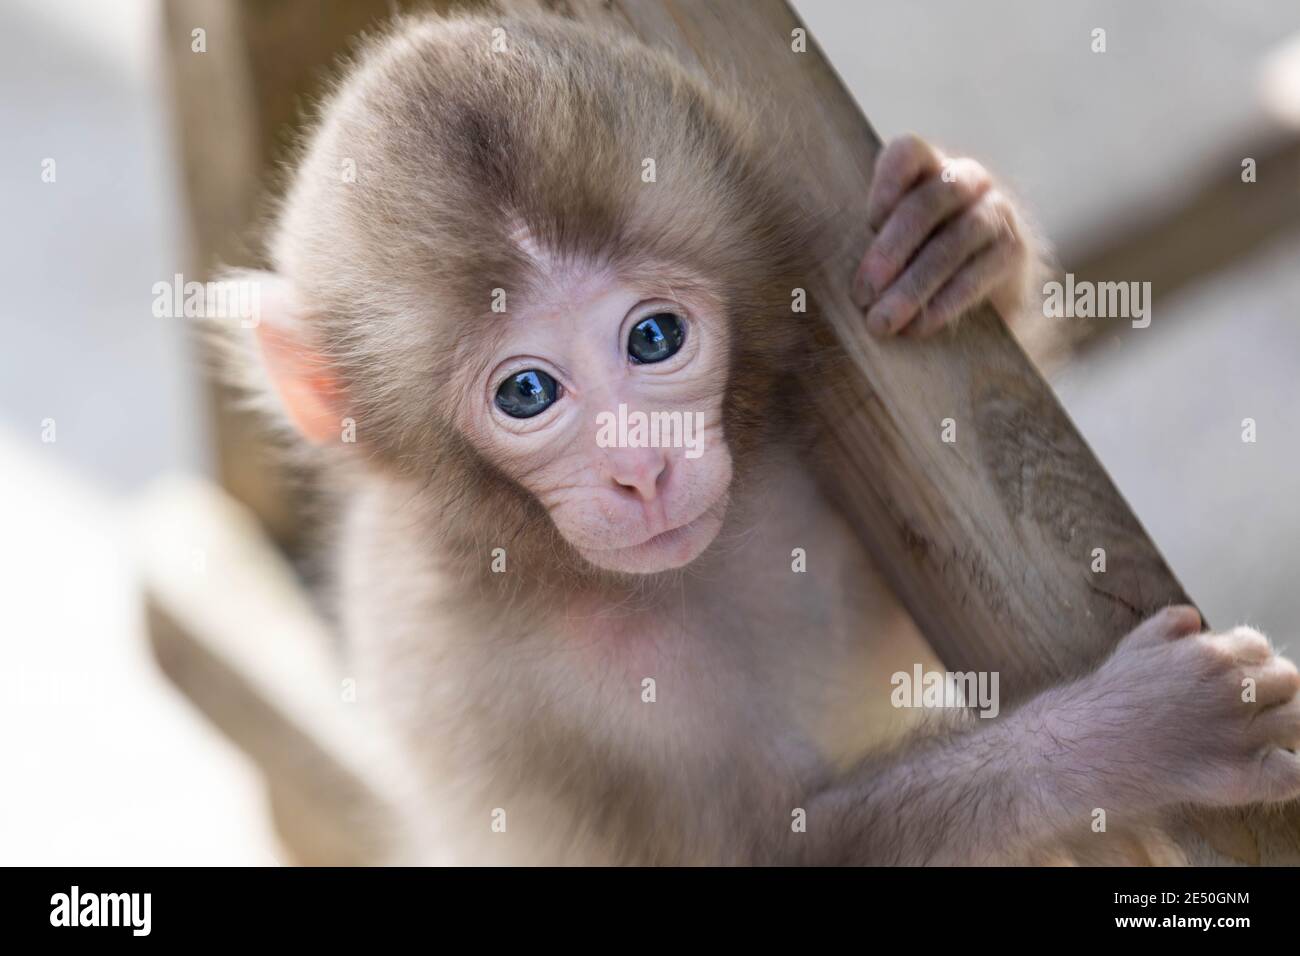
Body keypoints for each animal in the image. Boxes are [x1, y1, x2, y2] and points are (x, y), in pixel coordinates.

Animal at [239, 13, 1294, 868]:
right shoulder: (478, 670)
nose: (642, 470)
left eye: (654, 338)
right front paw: (1130, 738)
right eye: (526, 392)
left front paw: (961, 231)